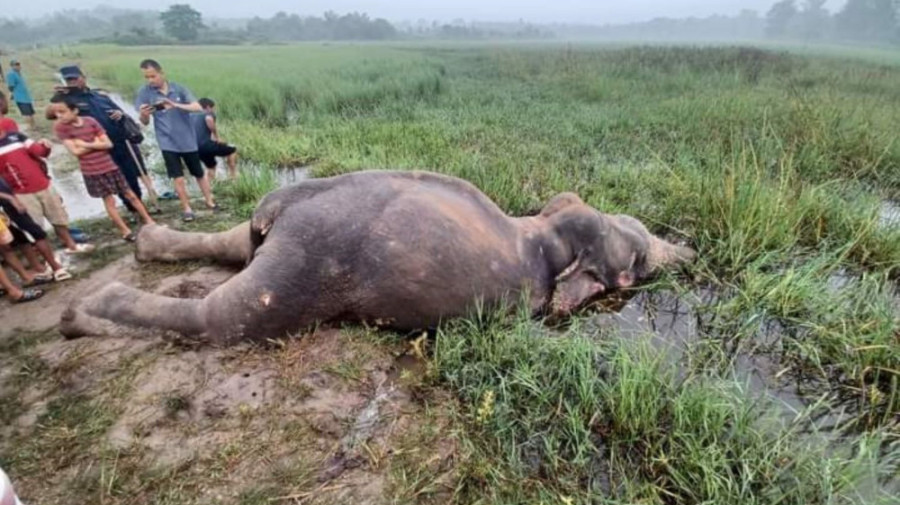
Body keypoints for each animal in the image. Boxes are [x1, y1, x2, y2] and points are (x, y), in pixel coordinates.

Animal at [60, 170, 695, 345]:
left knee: (233, 252)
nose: (688, 249)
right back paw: (83, 311)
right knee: (222, 318)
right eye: (638, 261)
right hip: (303, 264)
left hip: (285, 250)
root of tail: (280, 207)